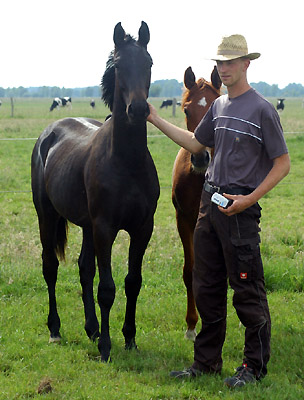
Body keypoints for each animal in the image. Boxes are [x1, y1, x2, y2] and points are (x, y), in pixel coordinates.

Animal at [30, 21, 159, 362]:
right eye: (118, 65)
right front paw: (106, 348)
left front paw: (129, 338)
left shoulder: (142, 228)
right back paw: (55, 330)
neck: (126, 162)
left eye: (149, 63)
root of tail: (49, 133)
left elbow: (132, 282)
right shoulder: (105, 228)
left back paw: (92, 328)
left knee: (84, 268)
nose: (138, 109)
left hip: (86, 226)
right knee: (50, 267)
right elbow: (107, 288)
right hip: (47, 216)